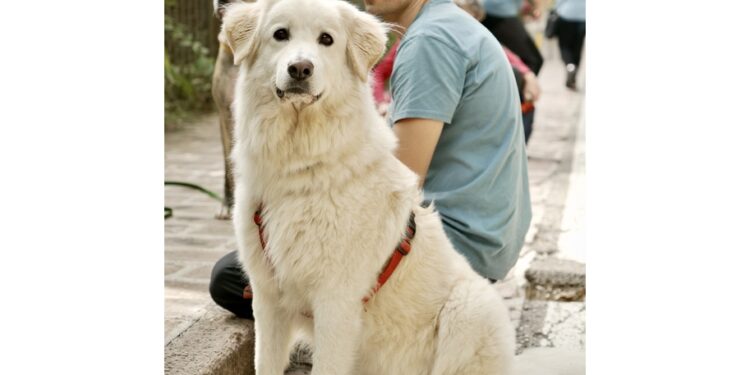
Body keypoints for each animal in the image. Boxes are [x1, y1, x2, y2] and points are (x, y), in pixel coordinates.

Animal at [222, 0, 580, 375]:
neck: (301, 164)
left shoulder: (336, 301)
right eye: (280, 34)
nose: (300, 69)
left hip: (469, 309)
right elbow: (265, 363)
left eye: (326, 40)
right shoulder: (267, 298)